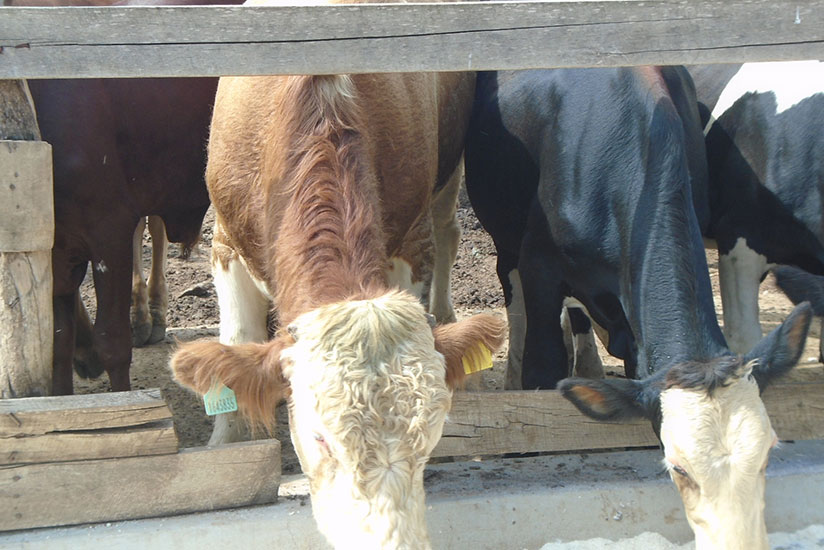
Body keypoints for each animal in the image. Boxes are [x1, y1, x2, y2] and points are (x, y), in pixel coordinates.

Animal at [166, 7, 505, 547]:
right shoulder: (224, 239)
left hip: (449, 173)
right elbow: (234, 346)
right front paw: (226, 447)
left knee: (449, 230)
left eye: (432, 434)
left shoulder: (408, 244)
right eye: (319, 436)